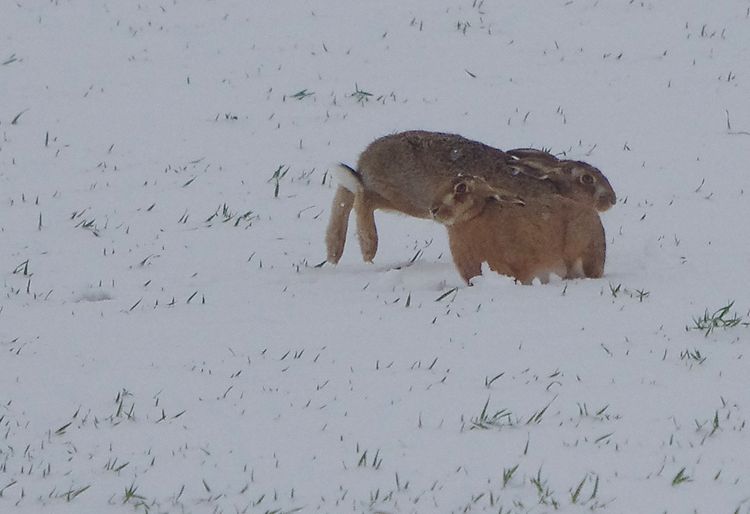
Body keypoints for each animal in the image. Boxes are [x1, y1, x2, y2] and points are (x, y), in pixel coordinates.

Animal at [325, 130, 615, 264]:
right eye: (587, 179)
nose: (612, 200)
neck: (554, 186)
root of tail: (366, 161)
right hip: (408, 197)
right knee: (363, 197)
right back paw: (368, 247)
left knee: (347, 189)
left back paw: (333, 252)